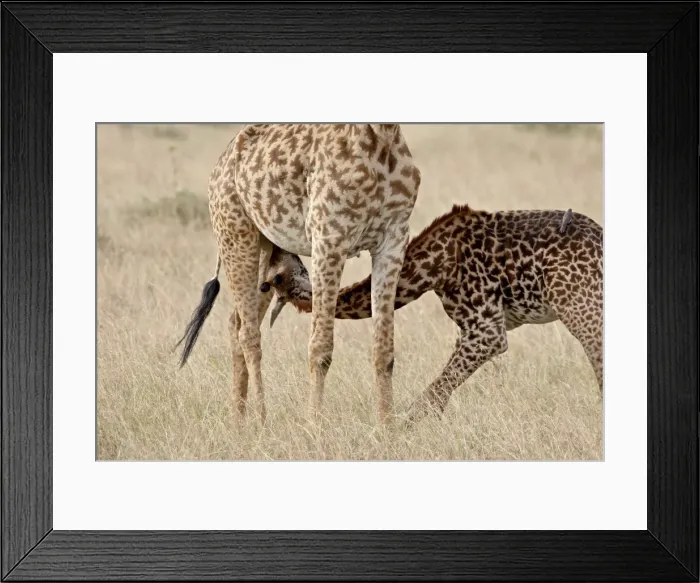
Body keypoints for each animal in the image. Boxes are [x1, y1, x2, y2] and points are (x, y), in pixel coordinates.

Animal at [176, 124, 421, 424]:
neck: (382, 136)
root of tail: (220, 164)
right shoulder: (329, 239)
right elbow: (320, 348)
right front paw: (315, 426)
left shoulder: (393, 241)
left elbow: (384, 349)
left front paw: (387, 427)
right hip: (236, 237)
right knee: (248, 333)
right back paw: (261, 420)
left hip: (264, 253)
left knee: (237, 323)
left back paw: (239, 422)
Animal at [262, 204, 603, 423]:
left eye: (275, 275)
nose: (274, 243)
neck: (433, 268)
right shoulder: (473, 329)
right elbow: (441, 391)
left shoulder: (488, 330)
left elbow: (433, 393)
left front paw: (394, 430)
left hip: (580, 308)